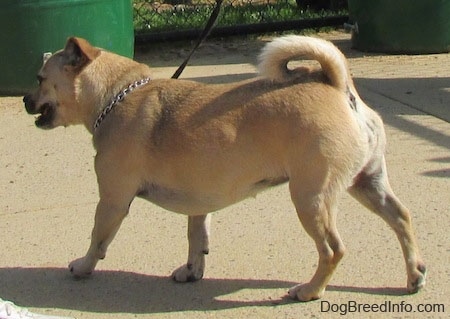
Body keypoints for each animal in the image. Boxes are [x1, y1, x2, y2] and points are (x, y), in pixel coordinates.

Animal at [23, 35, 426, 302]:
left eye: (40, 79)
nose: (26, 99)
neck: (117, 95)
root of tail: (337, 86)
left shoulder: (112, 200)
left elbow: (98, 238)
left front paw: (84, 266)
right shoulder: (198, 204)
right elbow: (196, 238)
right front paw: (192, 271)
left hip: (311, 198)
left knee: (332, 249)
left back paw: (310, 290)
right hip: (366, 183)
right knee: (401, 217)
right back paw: (415, 275)